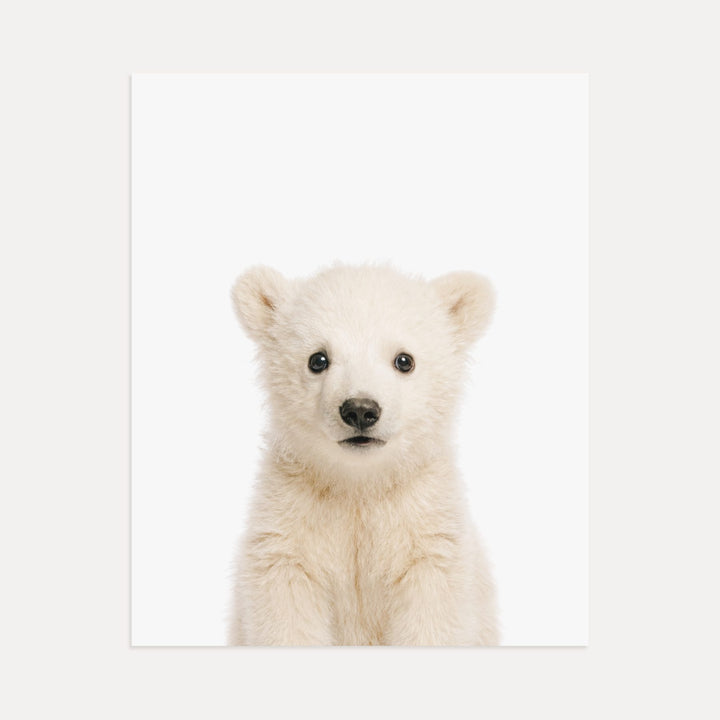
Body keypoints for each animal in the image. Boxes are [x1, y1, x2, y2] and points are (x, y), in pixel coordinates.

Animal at [228, 264, 499, 646]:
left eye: (404, 360)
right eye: (318, 359)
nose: (360, 410)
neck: (359, 484)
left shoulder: (426, 533)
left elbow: (432, 616)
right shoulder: (289, 530)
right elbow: (286, 612)